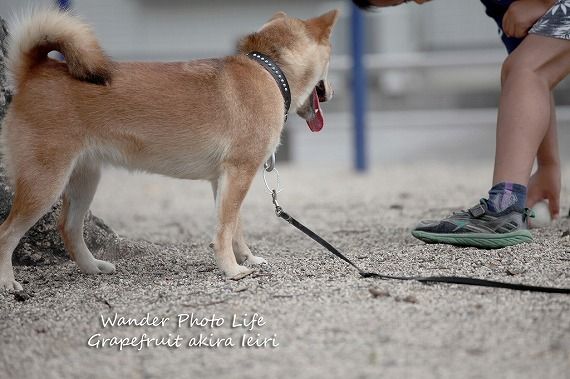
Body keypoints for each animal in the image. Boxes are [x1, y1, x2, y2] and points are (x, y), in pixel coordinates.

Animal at [0, 8, 338, 290]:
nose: (332, 92)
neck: (269, 70)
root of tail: (35, 70)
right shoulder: (240, 173)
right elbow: (225, 231)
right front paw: (232, 270)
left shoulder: (226, 180)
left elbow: (234, 227)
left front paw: (247, 259)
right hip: (44, 183)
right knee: (6, 234)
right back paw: (7, 284)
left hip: (84, 180)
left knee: (69, 228)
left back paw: (93, 267)